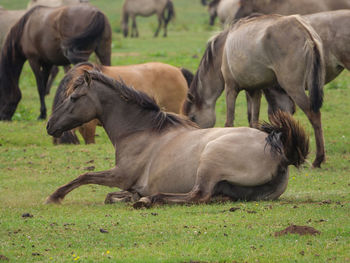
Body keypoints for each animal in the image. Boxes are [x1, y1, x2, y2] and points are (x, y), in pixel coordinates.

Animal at [44, 70, 308, 208]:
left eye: (74, 97)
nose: (50, 125)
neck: (140, 131)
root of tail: (281, 155)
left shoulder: (121, 174)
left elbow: (84, 176)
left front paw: (54, 196)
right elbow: (110, 195)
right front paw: (128, 196)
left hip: (210, 161)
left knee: (197, 195)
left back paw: (150, 199)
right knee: (209, 197)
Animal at [183, 13, 326, 167]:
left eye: (192, 117)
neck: (223, 49)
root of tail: (305, 31)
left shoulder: (231, 89)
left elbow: (229, 122)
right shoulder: (254, 91)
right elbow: (253, 122)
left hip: (294, 88)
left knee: (314, 115)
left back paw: (318, 159)